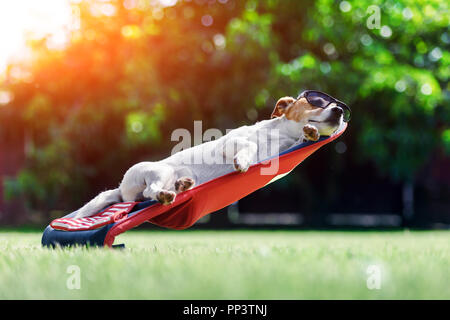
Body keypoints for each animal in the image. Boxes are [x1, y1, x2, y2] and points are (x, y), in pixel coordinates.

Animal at [75, 92, 346, 218]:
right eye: (315, 101)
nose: (340, 110)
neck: (280, 136)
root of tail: (121, 190)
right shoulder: (229, 143)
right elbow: (249, 147)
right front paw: (243, 160)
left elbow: (302, 138)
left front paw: (310, 134)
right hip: (160, 170)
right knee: (152, 192)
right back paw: (168, 192)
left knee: (152, 195)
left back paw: (181, 186)